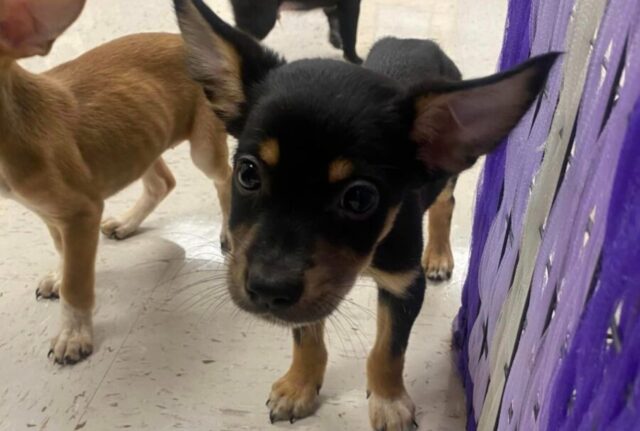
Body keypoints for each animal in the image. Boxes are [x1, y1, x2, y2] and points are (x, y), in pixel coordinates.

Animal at [0, 0, 231, 364]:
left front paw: (73, 335)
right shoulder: (50, 213)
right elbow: (62, 251)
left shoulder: (81, 211)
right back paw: (126, 223)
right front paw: (59, 275)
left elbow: (77, 285)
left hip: (203, 148)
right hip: (140, 137)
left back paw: (227, 233)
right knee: (162, 182)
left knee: (225, 180)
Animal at [230, 0, 362, 63]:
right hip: (261, 21)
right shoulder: (351, 5)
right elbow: (350, 34)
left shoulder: (333, 7)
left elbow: (335, 23)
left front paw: (336, 42)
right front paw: (355, 60)